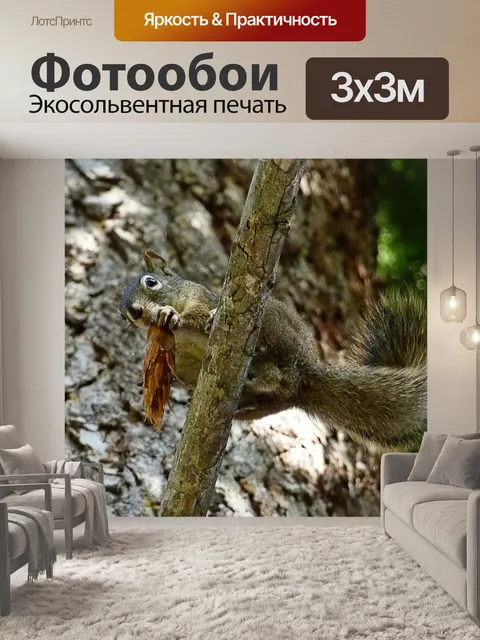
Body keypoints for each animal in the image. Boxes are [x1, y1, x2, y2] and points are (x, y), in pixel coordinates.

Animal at [121, 250, 427, 452]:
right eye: (123, 316)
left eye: (150, 281)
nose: (134, 312)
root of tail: (307, 375)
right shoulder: (182, 359)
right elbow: (180, 373)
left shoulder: (200, 299)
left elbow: (194, 315)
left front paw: (172, 315)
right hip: (273, 398)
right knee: (269, 396)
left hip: (273, 323)